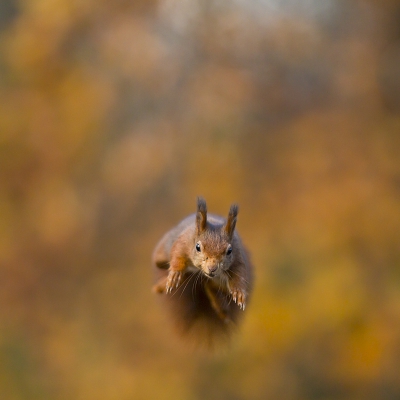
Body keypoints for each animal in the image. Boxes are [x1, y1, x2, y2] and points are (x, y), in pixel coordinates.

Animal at [152, 198, 252, 348]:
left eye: (229, 251)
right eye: (198, 247)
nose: (212, 268)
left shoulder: (238, 256)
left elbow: (239, 275)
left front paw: (239, 293)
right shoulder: (183, 243)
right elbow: (177, 257)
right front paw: (174, 275)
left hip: (220, 283)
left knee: (210, 286)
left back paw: (222, 309)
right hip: (162, 252)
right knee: (160, 261)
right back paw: (161, 284)